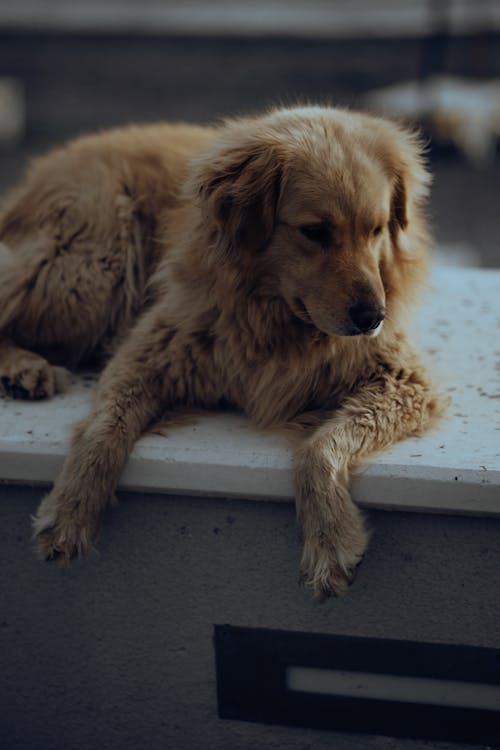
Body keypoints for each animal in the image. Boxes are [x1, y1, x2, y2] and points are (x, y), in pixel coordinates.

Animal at [0, 106, 438, 600]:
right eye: (315, 232)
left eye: (377, 229)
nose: (372, 317)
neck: (275, 320)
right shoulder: (143, 357)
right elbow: (103, 431)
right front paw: (70, 511)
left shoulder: (403, 381)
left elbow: (319, 448)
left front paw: (330, 538)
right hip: (89, 271)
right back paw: (24, 368)